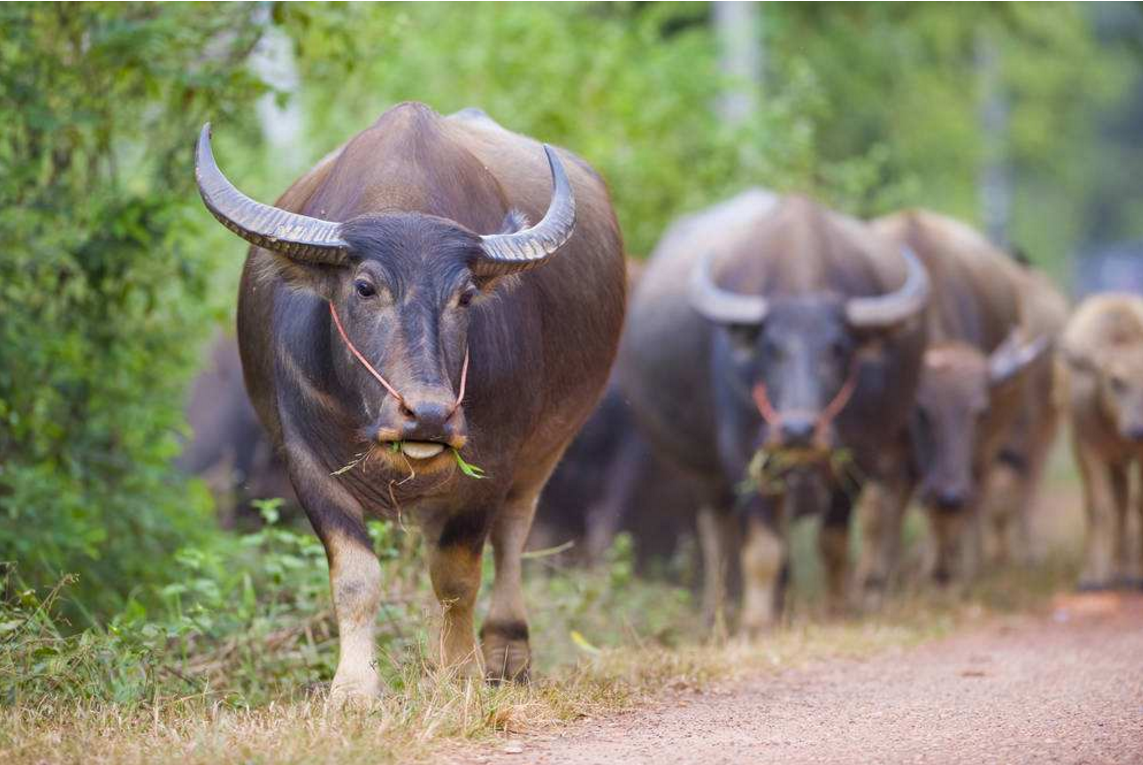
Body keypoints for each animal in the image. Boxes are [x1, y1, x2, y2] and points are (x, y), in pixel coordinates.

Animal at [196, 101, 626, 704]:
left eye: (465, 296)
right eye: (364, 287)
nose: (428, 415)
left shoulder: (492, 461)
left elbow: (457, 575)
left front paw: (460, 673)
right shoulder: (304, 460)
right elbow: (356, 578)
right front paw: (354, 688)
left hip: (546, 450)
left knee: (512, 534)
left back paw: (506, 653)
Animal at [617, 190, 928, 631]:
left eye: (838, 349)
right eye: (771, 348)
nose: (798, 431)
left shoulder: (858, 454)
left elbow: (832, 540)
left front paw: (836, 606)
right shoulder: (743, 454)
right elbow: (761, 546)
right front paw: (756, 620)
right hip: (703, 472)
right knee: (717, 531)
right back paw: (718, 612)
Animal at [864, 211, 1046, 590]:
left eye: (981, 412)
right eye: (921, 412)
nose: (951, 495)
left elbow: (948, 515)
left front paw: (947, 573)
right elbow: (886, 508)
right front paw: (881, 575)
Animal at [1056, 295, 1143, 590]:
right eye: (1115, 381)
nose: (1137, 429)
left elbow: (1139, 503)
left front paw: (1136, 573)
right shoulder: (1089, 450)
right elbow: (1101, 508)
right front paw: (1095, 576)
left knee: (1125, 501)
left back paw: (1124, 567)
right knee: (1111, 502)